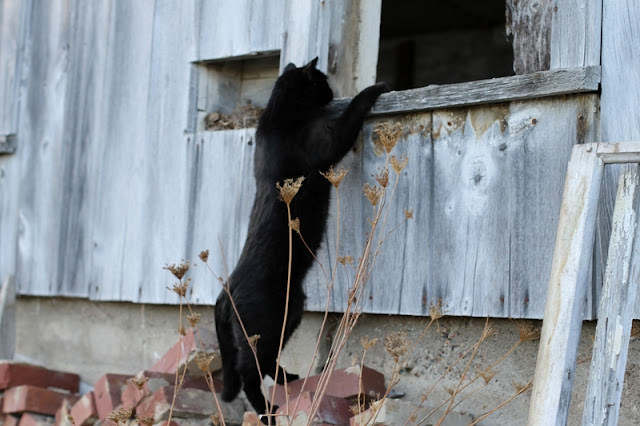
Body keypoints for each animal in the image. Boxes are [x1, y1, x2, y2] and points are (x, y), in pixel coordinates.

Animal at [215, 57, 388, 422]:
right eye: (322, 81)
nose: (333, 91)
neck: (275, 117)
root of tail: (226, 290)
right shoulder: (328, 141)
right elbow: (352, 113)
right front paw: (376, 87)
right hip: (267, 323)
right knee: (249, 371)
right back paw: (267, 410)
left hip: (291, 309)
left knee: (264, 362)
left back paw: (287, 378)